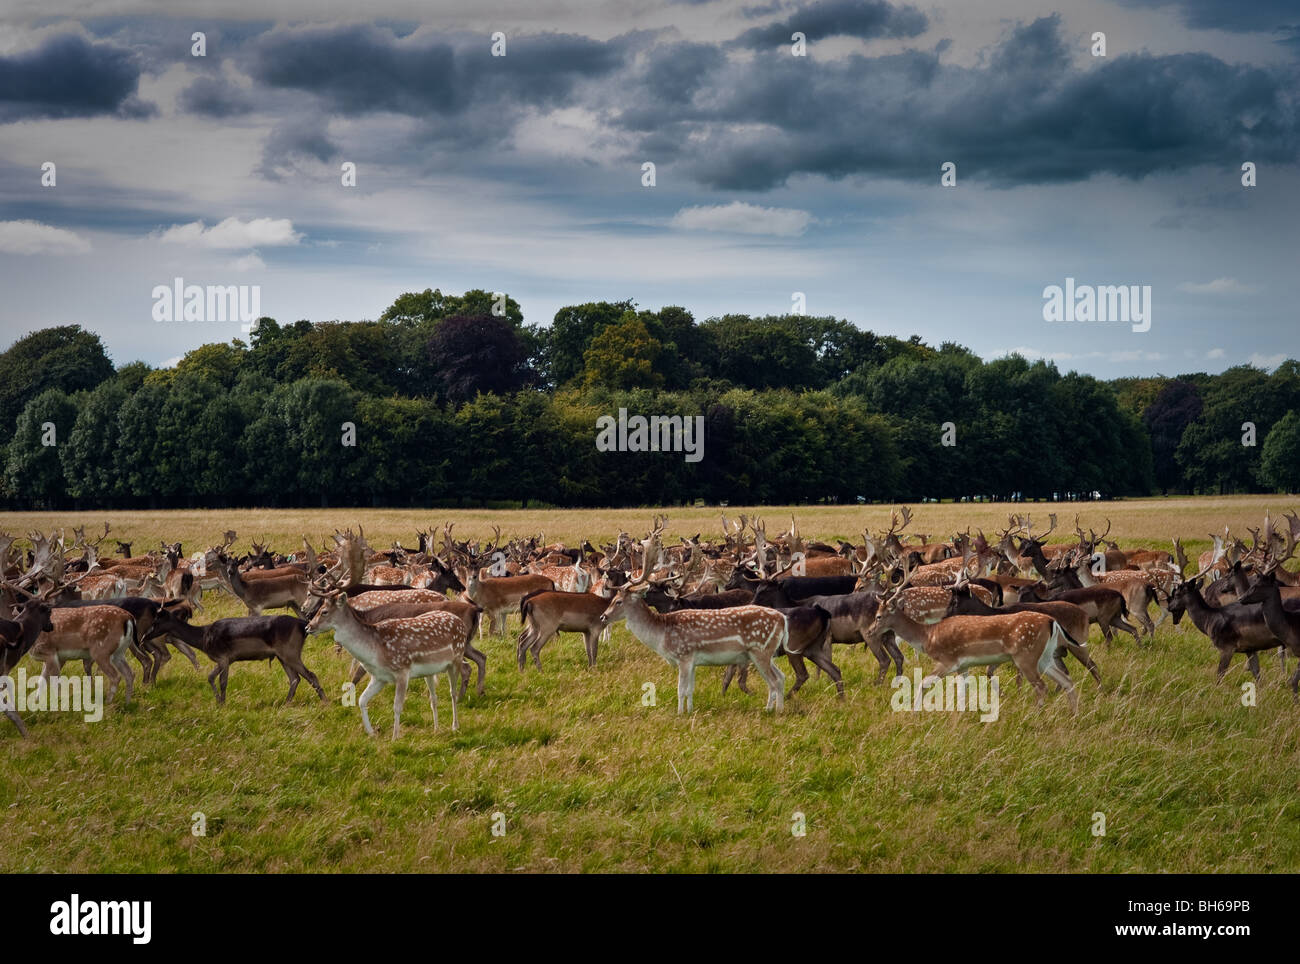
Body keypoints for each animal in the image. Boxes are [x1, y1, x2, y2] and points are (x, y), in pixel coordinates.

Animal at [304, 582, 467, 737]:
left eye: (324, 611)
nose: (308, 627)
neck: (375, 651)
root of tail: (460, 622)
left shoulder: (402, 671)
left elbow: (397, 706)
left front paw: (395, 737)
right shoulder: (379, 677)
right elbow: (361, 700)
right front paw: (371, 733)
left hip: (456, 659)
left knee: (453, 692)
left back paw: (455, 726)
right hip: (429, 672)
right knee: (434, 697)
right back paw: (436, 728)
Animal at [595, 574, 785, 717]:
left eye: (618, 601)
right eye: (613, 598)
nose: (603, 616)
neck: (661, 635)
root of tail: (782, 619)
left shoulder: (684, 655)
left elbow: (681, 689)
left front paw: (680, 714)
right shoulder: (693, 661)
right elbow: (690, 689)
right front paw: (690, 710)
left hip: (760, 651)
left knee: (774, 681)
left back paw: (776, 711)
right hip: (767, 653)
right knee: (781, 677)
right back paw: (772, 709)